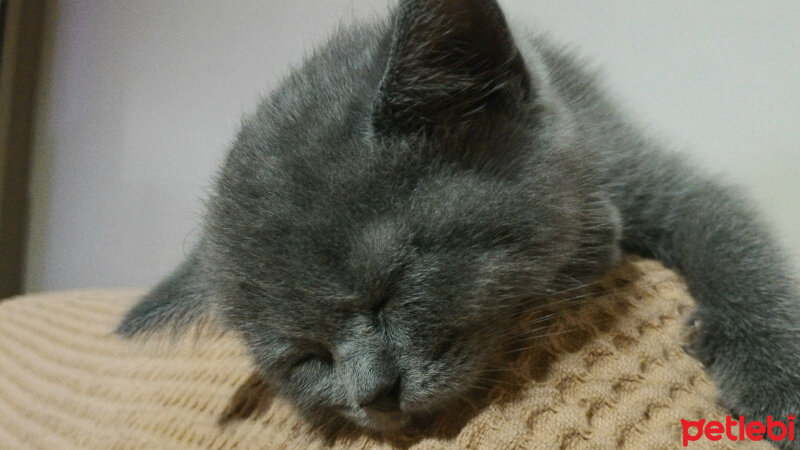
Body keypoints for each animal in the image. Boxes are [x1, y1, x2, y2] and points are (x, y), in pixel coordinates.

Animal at [117, 0, 800, 442]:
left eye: (389, 292)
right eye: (304, 357)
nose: (375, 396)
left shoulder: (649, 171)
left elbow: (731, 238)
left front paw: (776, 385)